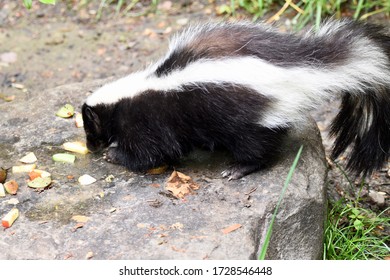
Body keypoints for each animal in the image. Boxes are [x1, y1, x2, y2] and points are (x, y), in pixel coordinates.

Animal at [82, 19, 390, 179]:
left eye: (90, 126)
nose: (90, 147)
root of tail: (302, 67)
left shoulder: (150, 119)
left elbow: (155, 151)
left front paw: (115, 155)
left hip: (249, 116)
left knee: (257, 146)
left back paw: (238, 169)